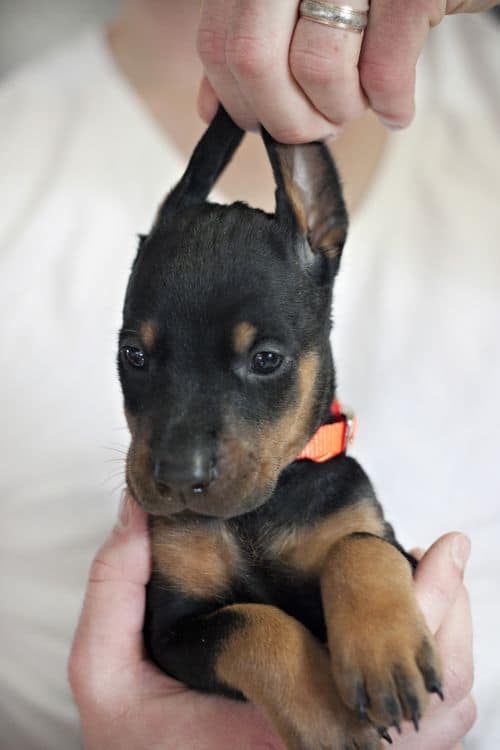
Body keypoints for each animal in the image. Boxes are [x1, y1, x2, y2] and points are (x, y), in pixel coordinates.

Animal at [117, 107, 442, 750]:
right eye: (133, 355)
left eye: (266, 359)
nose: (177, 477)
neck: (258, 512)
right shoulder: (170, 632)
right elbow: (251, 622)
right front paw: (328, 717)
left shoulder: (389, 543)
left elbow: (360, 546)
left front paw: (384, 654)